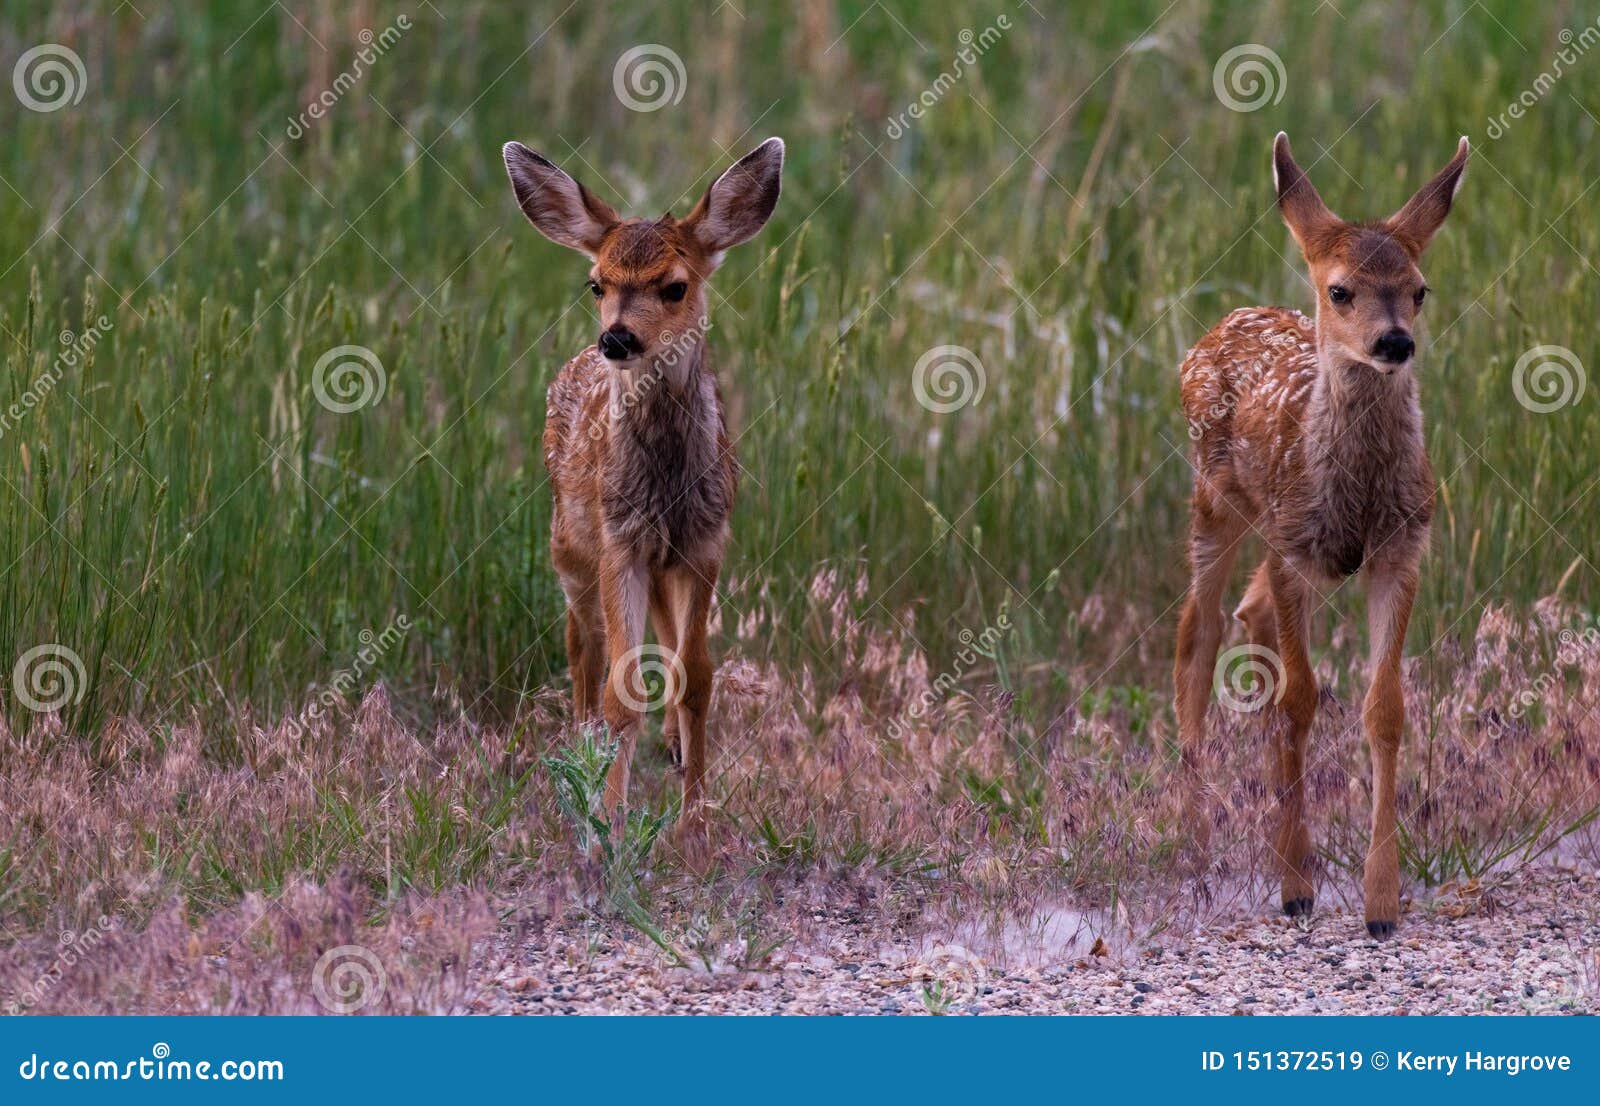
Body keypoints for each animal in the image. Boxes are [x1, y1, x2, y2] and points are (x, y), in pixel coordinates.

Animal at [499, 136, 780, 832]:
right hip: (571, 547)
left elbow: (696, 675)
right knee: (583, 646)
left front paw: (697, 820)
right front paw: (609, 818)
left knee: (661, 640)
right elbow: (623, 686)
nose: (617, 338)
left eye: (675, 286)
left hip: (660, 561)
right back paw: (582, 751)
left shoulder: (705, 540)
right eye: (595, 283)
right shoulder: (619, 542)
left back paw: (671, 749)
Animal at [1171, 134, 1465, 941]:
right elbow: (1299, 696)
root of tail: (1227, 321)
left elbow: (1384, 707)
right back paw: (1196, 849)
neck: (1357, 492)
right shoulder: (1293, 547)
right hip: (1217, 499)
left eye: (1420, 289)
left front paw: (1380, 902)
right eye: (1341, 291)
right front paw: (1298, 886)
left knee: (1247, 615)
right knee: (1198, 630)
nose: (1394, 341)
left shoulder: (1402, 550)